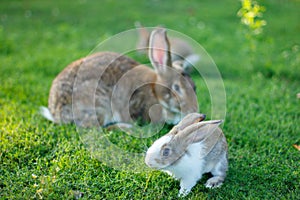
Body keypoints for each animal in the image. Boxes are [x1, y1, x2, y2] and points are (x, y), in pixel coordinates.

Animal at [40, 28, 199, 127]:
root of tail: (56, 112)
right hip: (100, 105)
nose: (194, 110)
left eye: (194, 87)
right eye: (176, 88)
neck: (155, 93)